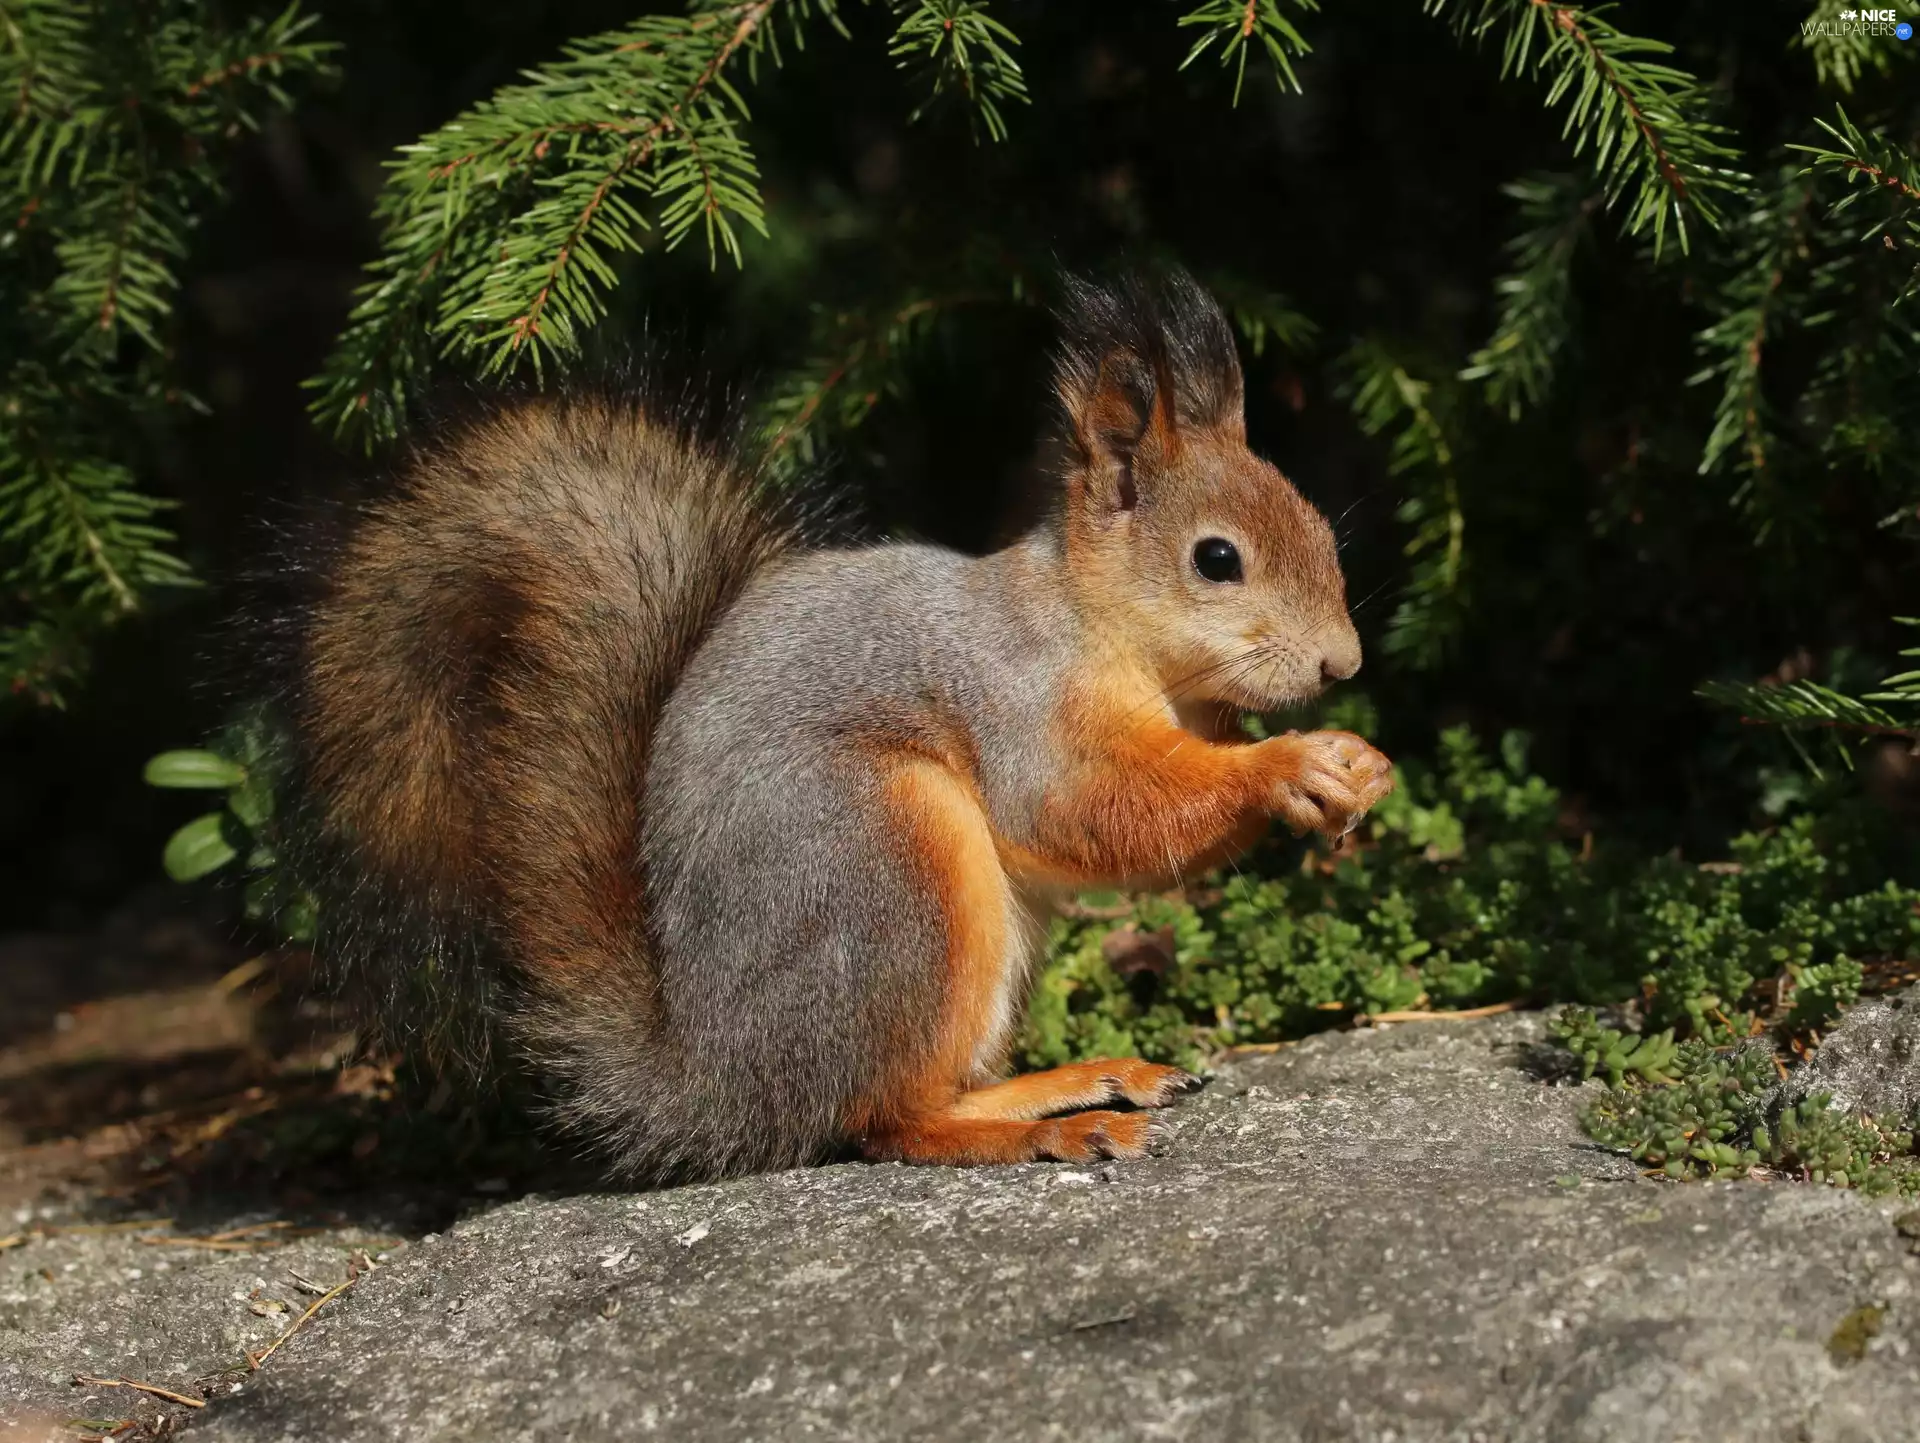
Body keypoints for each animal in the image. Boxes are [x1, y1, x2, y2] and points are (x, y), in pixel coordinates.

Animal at [283, 270, 1394, 1183]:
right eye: (1217, 559)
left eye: (1318, 524)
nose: (1343, 665)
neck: (1101, 626)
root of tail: (718, 1076)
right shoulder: (1020, 702)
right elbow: (1089, 813)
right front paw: (1289, 767)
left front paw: (1361, 768)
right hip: (891, 863)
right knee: (883, 1120)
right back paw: (1047, 1129)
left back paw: (1069, 1081)